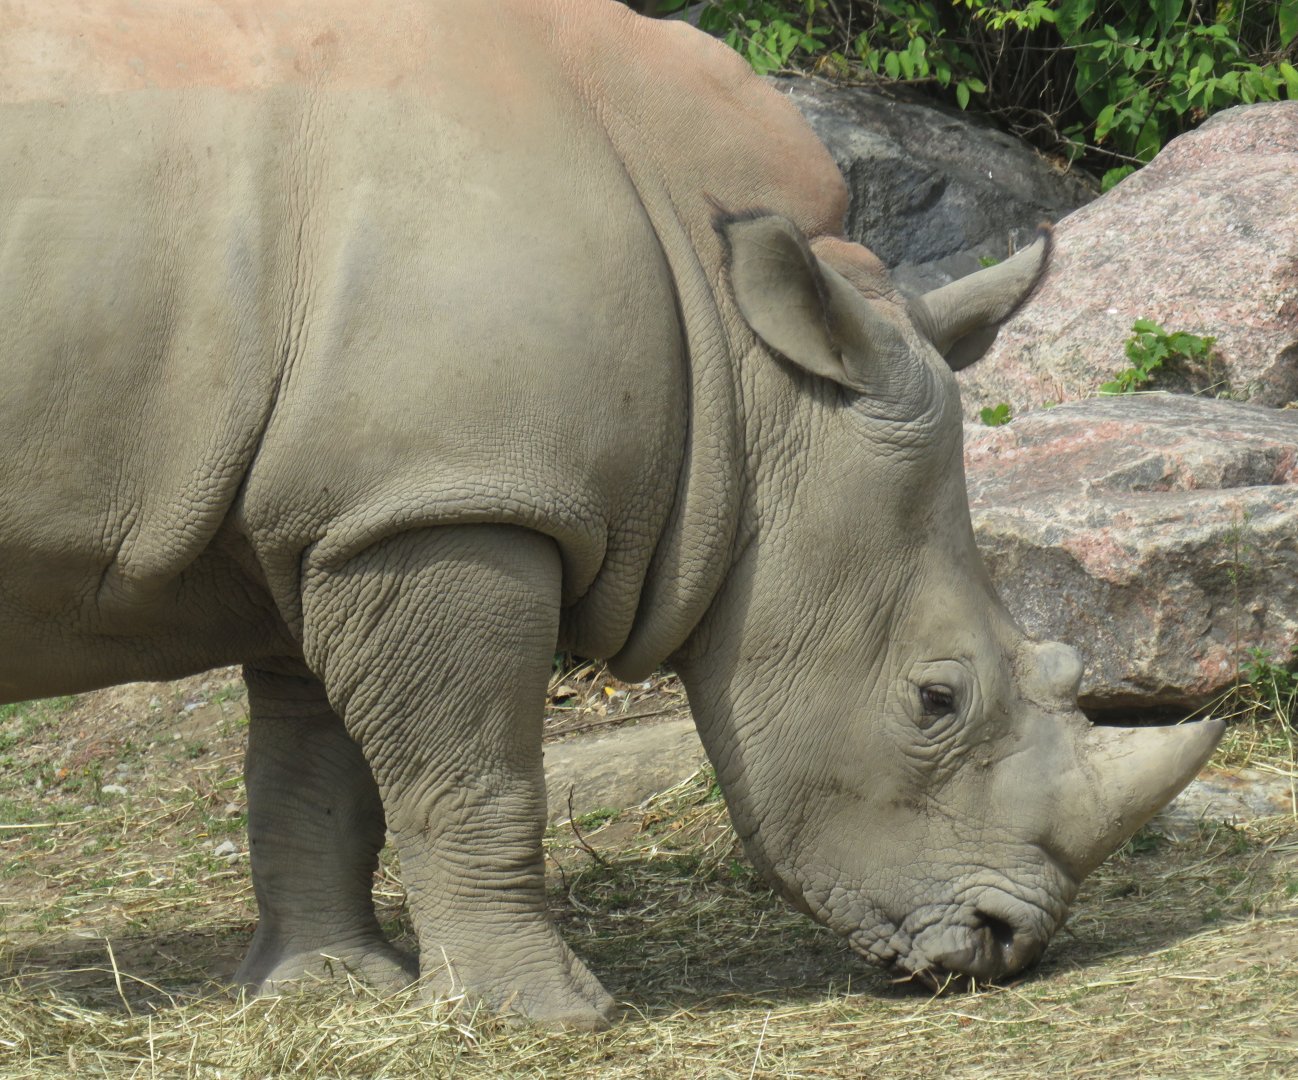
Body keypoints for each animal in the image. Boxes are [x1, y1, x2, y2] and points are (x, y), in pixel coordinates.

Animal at [0, 0, 1221, 1028]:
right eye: (934, 700)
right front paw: (548, 1019)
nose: (1007, 942)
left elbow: (318, 772)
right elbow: (474, 773)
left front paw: (330, 988)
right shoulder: (454, 500)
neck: (744, 366)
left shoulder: (352, 504)